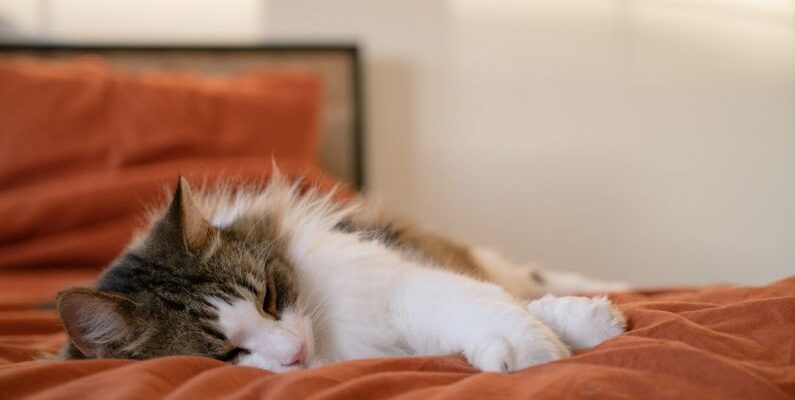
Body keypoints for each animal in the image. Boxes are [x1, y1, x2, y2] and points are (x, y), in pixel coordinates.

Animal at [54, 175, 628, 372]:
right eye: (227, 354)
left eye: (269, 298)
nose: (296, 353)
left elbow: (493, 305)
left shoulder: (398, 284)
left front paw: (567, 336)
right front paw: (511, 355)